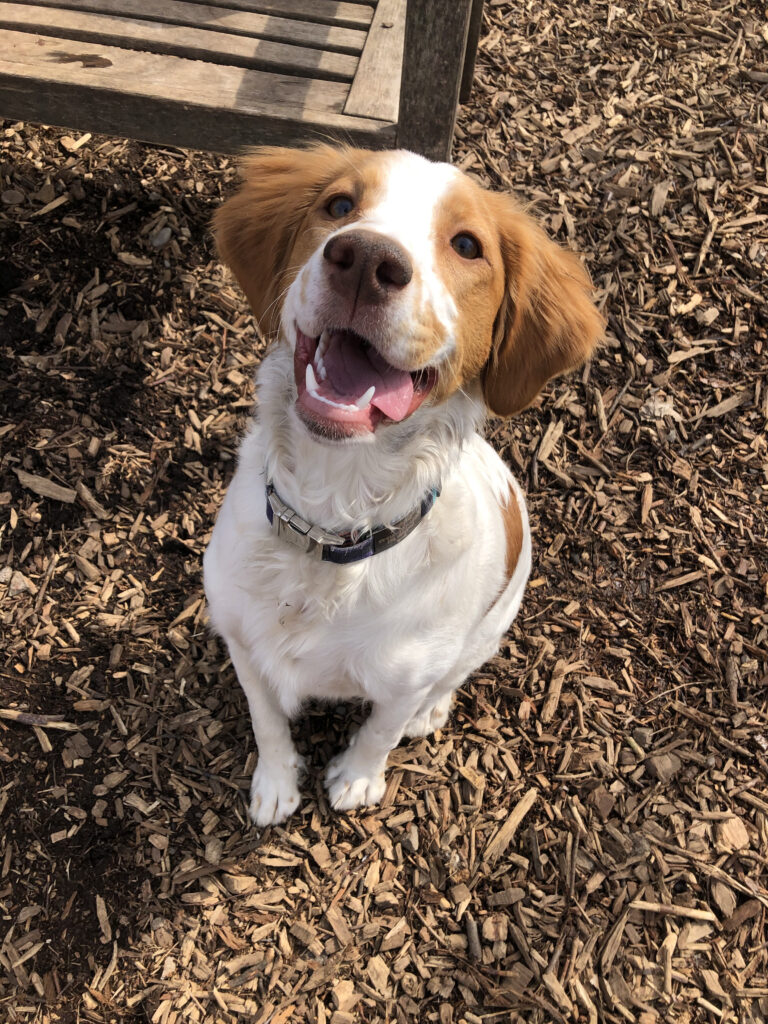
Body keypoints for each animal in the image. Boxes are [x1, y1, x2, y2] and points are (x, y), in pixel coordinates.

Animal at [203, 145, 603, 825]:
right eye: (339, 204)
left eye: (467, 245)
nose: (366, 259)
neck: (333, 525)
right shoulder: (240, 637)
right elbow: (266, 721)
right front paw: (275, 784)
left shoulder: (404, 676)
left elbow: (380, 731)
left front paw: (357, 780)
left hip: (489, 628)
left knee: (451, 678)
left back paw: (432, 711)